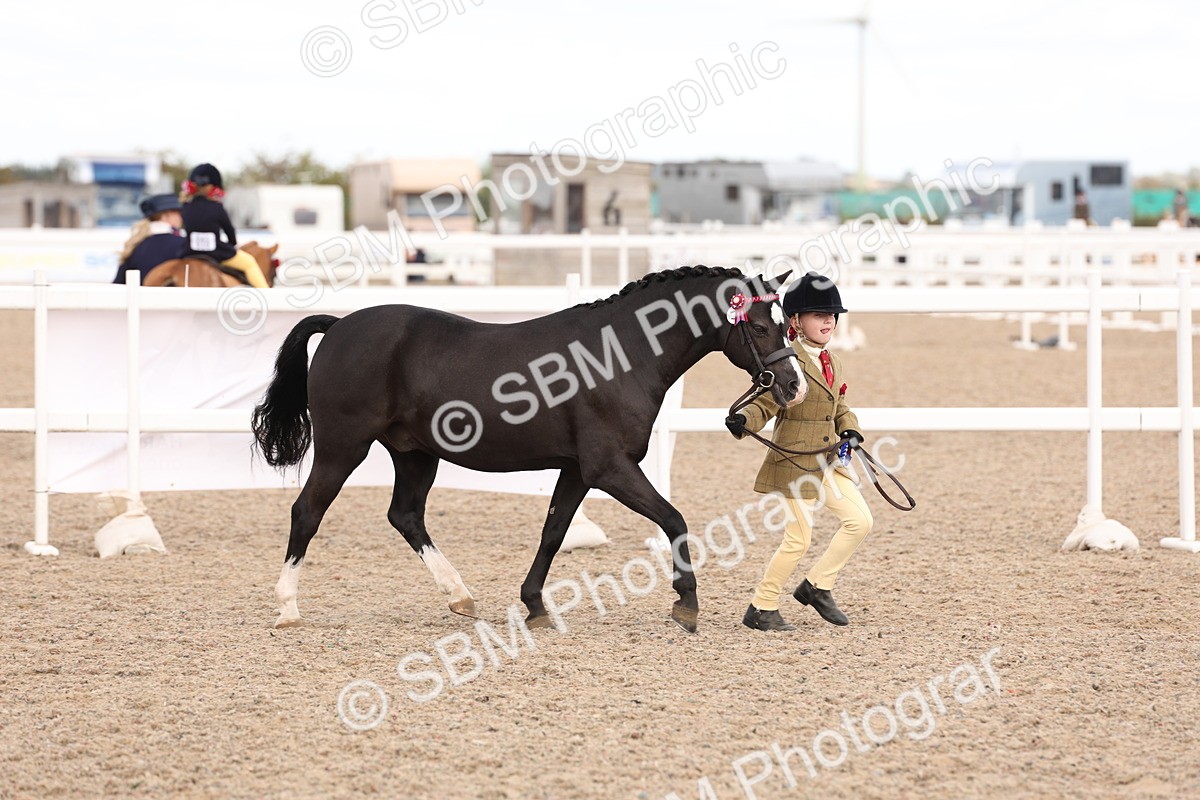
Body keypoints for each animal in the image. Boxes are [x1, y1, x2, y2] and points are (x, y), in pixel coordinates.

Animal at [251, 266, 804, 633]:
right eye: (759, 326)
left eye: (785, 324)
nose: (793, 386)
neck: (619, 355)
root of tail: (339, 325)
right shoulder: (610, 468)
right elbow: (674, 518)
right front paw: (686, 603)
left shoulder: (578, 470)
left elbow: (553, 532)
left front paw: (534, 605)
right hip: (343, 449)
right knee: (307, 512)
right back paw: (288, 607)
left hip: (415, 455)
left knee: (405, 516)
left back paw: (461, 597)